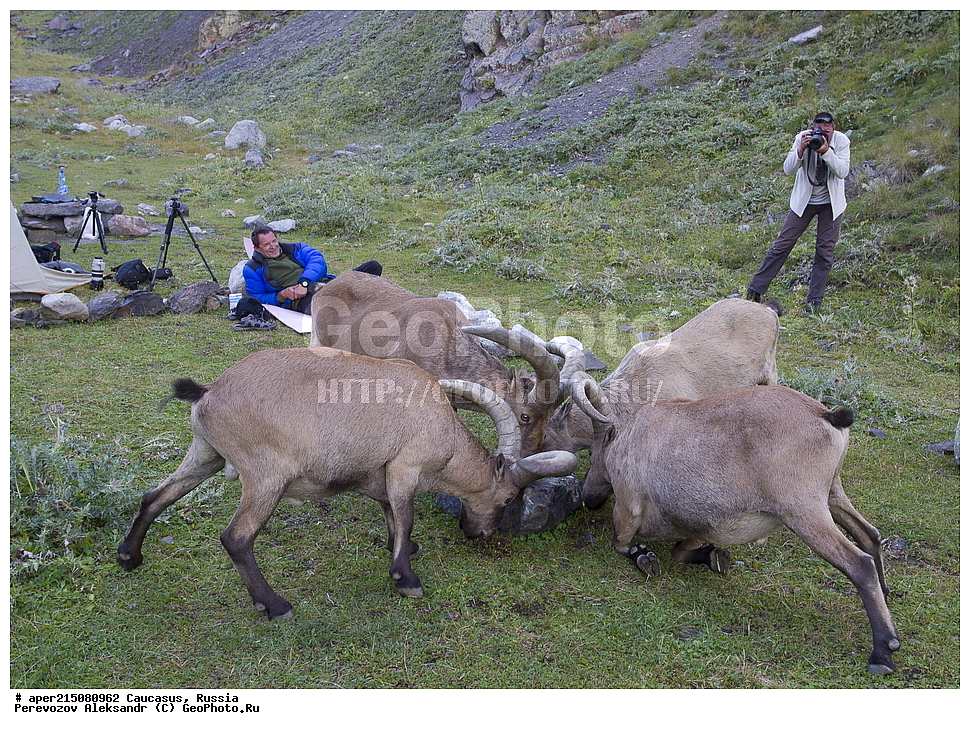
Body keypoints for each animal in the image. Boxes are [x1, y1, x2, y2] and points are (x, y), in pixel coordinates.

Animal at [117, 348, 578, 620]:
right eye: (507, 496)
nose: (478, 533)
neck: (441, 425)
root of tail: (208, 392)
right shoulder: (406, 466)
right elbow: (405, 515)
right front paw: (406, 580)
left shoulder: (383, 474)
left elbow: (391, 515)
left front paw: (404, 551)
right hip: (266, 477)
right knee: (236, 537)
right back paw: (275, 605)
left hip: (205, 454)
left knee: (155, 496)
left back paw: (129, 557)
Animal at [572, 380, 900, 674]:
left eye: (592, 455)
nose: (589, 498)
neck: (628, 439)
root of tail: (828, 415)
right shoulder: (696, 526)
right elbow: (683, 551)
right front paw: (713, 557)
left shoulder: (629, 507)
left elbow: (622, 544)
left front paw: (644, 556)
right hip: (832, 493)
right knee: (869, 534)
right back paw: (885, 595)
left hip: (802, 508)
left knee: (859, 564)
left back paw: (883, 651)